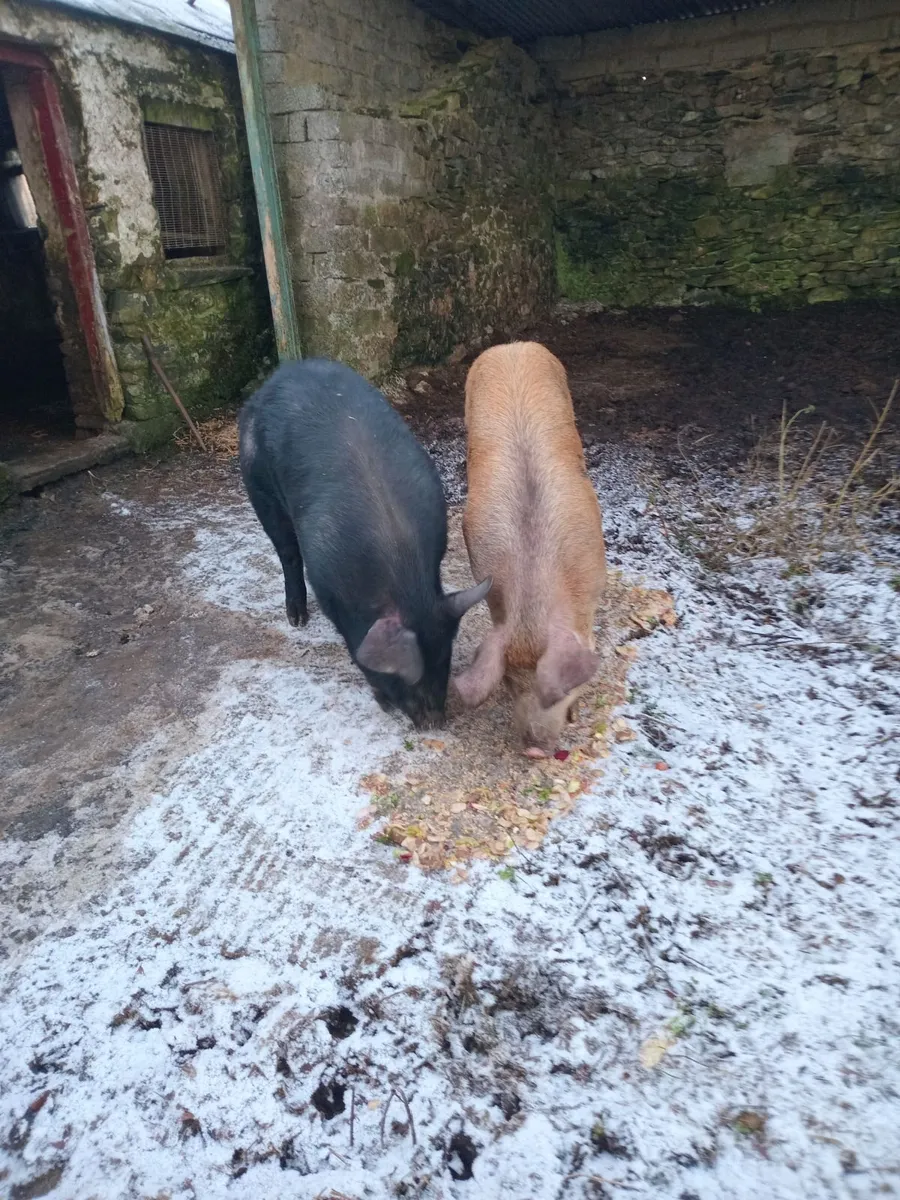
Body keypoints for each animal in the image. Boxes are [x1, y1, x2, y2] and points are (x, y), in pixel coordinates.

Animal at [238, 359, 490, 729]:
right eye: (404, 678)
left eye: (445, 660)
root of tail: (278, 376)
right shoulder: (327, 581)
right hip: (257, 481)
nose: (435, 722)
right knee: (286, 552)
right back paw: (296, 619)